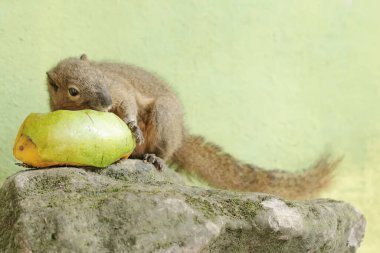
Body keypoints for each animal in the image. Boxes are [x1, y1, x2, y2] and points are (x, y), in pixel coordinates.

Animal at [46, 54, 342, 200]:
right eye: (73, 91)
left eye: (100, 74)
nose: (106, 102)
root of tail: (181, 136)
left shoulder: (120, 88)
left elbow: (128, 104)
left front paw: (131, 125)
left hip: (164, 117)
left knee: (163, 151)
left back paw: (154, 157)